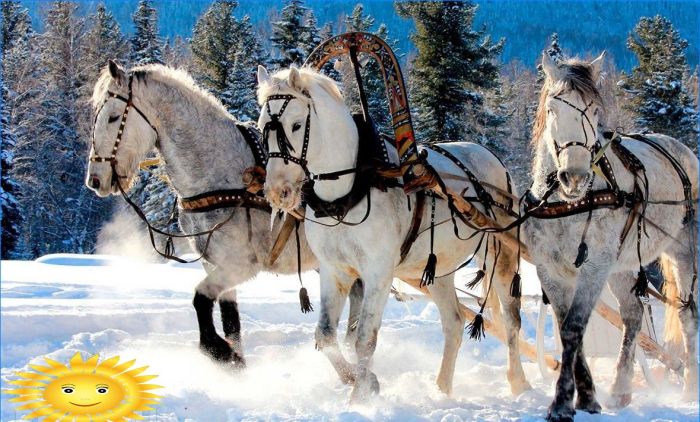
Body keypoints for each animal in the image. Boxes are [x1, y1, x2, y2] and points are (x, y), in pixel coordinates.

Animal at [85, 59, 364, 366]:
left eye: (113, 117)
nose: (95, 179)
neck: (222, 176)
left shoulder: (241, 264)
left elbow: (200, 299)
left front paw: (218, 350)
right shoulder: (215, 264)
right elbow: (231, 321)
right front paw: (236, 362)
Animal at [258, 65, 532, 398]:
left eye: (296, 125)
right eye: (262, 126)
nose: (277, 191)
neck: (348, 191)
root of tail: (491, 157)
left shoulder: (378, 271)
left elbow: (364, 339)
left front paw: (360, 396)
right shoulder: (335, 270)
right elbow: (325, 336)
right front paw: (358, 380)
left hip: (500, 254)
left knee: (511, 319)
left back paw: (518, 382)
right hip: (438, 269)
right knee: (453, 322)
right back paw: (441, 388)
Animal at [528, 52, 696, 422]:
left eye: (593, 110)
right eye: (553, 108)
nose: (575, 176)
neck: (569, 205)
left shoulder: (594, 268)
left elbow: (574, 327)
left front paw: (563, 402)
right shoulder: (550, 270)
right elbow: (566, 328)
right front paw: (588, 396)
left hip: (684, 252)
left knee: (687, 313)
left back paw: (690, 385)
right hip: (623, 265)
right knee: (633, 315)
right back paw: (621, 388)